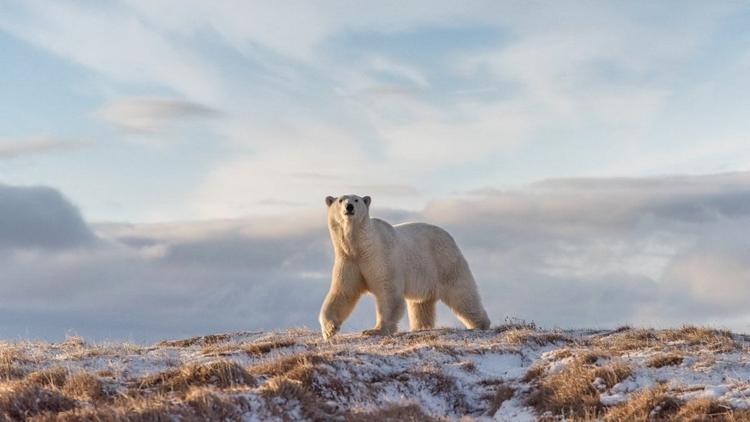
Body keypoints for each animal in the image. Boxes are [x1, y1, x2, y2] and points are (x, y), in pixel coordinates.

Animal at [318, 195, 490, 340]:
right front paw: (329, 330)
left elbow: (388, 292)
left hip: (444, 261)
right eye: (340, 200)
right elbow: (343, 293)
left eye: (356, 199)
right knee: (421, 304)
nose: (349, 207)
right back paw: (420, 327)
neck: (362, 246)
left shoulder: (381, 258)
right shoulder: (349, 260)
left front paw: (375, 330)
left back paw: (480, 324)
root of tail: (449, 236)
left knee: (462, 293)